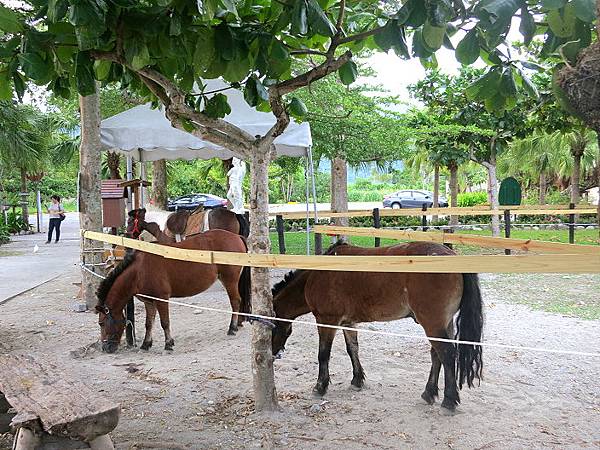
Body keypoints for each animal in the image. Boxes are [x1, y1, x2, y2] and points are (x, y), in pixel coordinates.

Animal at [96, 230, 251, 354]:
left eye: (101, 323)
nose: (105, 348)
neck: (140, 271)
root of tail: (236, 236)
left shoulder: (162, 299)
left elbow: (165, 322)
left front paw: (168, 344)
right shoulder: (149, 302)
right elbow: (148, 324)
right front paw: (146, 344)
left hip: (229, 280)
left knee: (235, 301)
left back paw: (232, 328)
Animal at [270, 241, 482, 414]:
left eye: (271, 327)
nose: (272, 353)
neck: (317, 275)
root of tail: (453, 257)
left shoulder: (326, 320)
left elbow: (323, 354)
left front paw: (320, 386)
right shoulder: (348, 322)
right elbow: (352, 349)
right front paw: (357, 380)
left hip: (433, 324)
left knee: (447, 355)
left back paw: (449, 401)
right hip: (442, 324)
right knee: (437, 355)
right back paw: (429, 393)